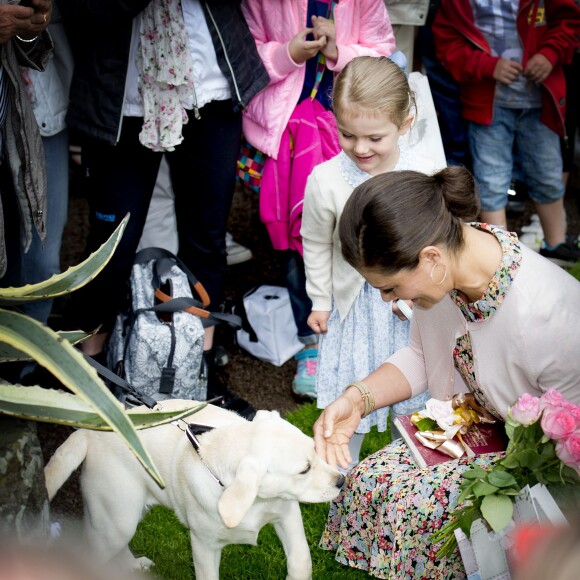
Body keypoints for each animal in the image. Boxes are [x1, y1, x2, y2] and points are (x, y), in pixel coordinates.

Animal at [46, 404, 344, 580]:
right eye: (304, 469)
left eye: (315, 449)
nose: (341, 480)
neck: (251, 500)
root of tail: (89, 432)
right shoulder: (203, 545)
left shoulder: (287, 512)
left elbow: (301, 560)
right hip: (117, 519)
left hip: (120, 517)